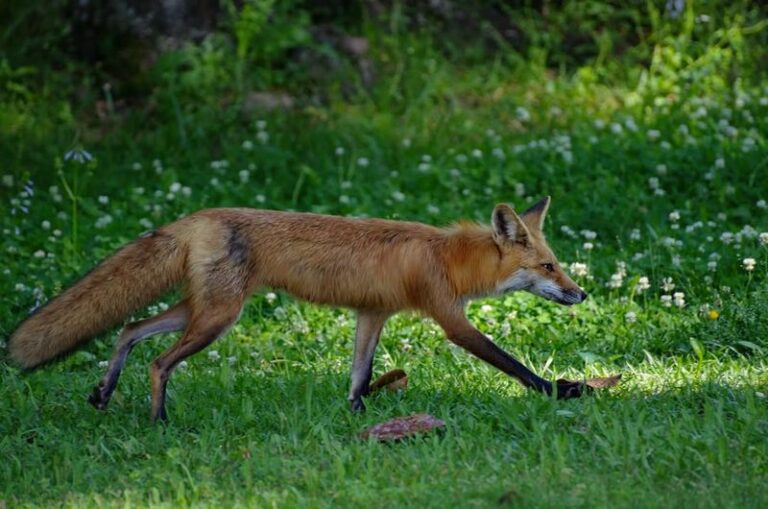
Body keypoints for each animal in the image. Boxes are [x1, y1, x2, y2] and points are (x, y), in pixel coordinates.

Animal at [9, 196, 588, 422]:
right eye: (548, 266)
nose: (581, 294)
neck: (448, 258)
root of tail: (197, 216)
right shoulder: (450, 319)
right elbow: (511, 363)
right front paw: (561, 391)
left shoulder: (372, 314)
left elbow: (359, 375)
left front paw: (357, 418)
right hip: (218, 319)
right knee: (158, 361)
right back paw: (158, 420)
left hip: (201, 310)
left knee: (130, 327)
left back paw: (104, 393)